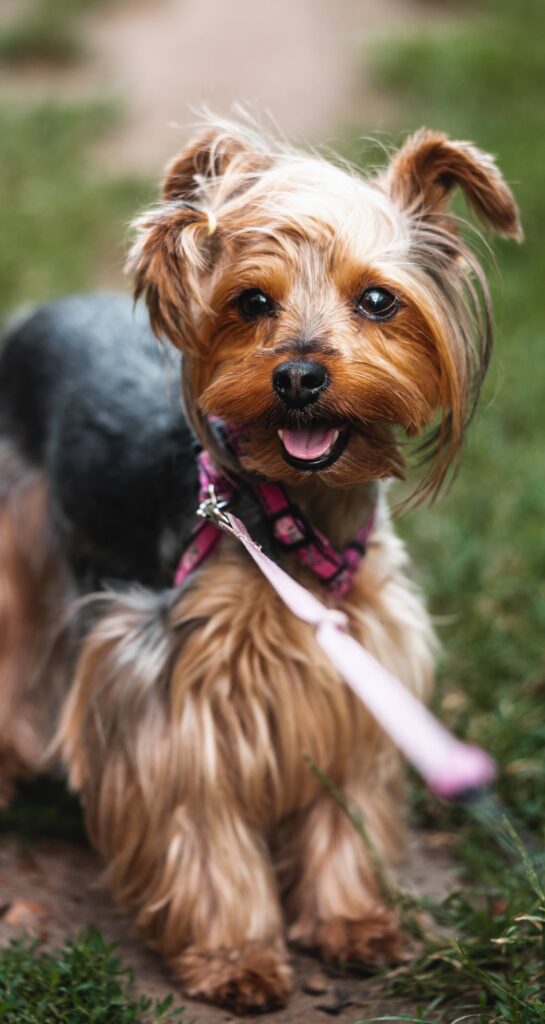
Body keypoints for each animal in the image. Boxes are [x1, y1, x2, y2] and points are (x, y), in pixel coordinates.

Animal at [0, 117, 522, 1007]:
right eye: (251, 303)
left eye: (377, 299)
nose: (299, 375)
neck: (295, 524)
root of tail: (35, 312)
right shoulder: (176, 692)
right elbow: (201, 822)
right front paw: (234, 956)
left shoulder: (355, 667)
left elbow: (345, 802)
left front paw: (352, 921)